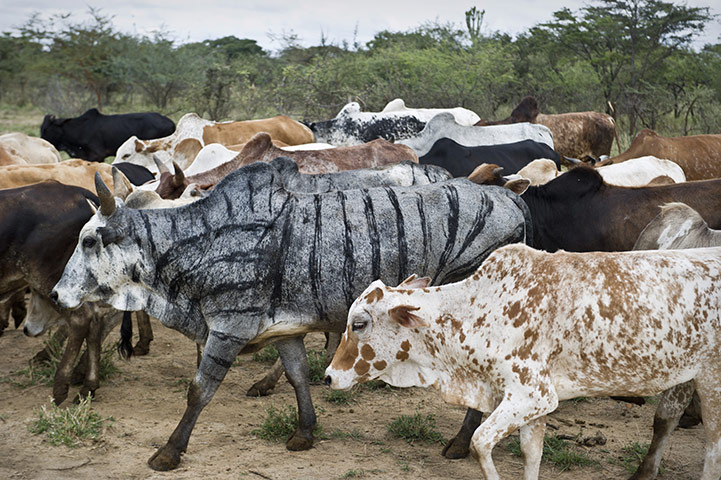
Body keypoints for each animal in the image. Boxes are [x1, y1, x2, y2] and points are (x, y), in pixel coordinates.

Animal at [51, 161, 531, 471]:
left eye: (90, 241)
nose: (56, 295)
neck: (198, 241)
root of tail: (508, 196)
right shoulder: (284, 329)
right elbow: (299, 375)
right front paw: (305, 431)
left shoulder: (229, 327)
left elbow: (199, 392)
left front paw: (170, 451)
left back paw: (461, 441)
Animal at [324, 244, 721, 480]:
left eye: (359, 323)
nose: (328, 377)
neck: (480, 309)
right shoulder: (534, 405)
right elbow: (532, 455)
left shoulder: (532, 394)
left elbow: (480, 441)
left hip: (712, 381)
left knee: (713, 447)